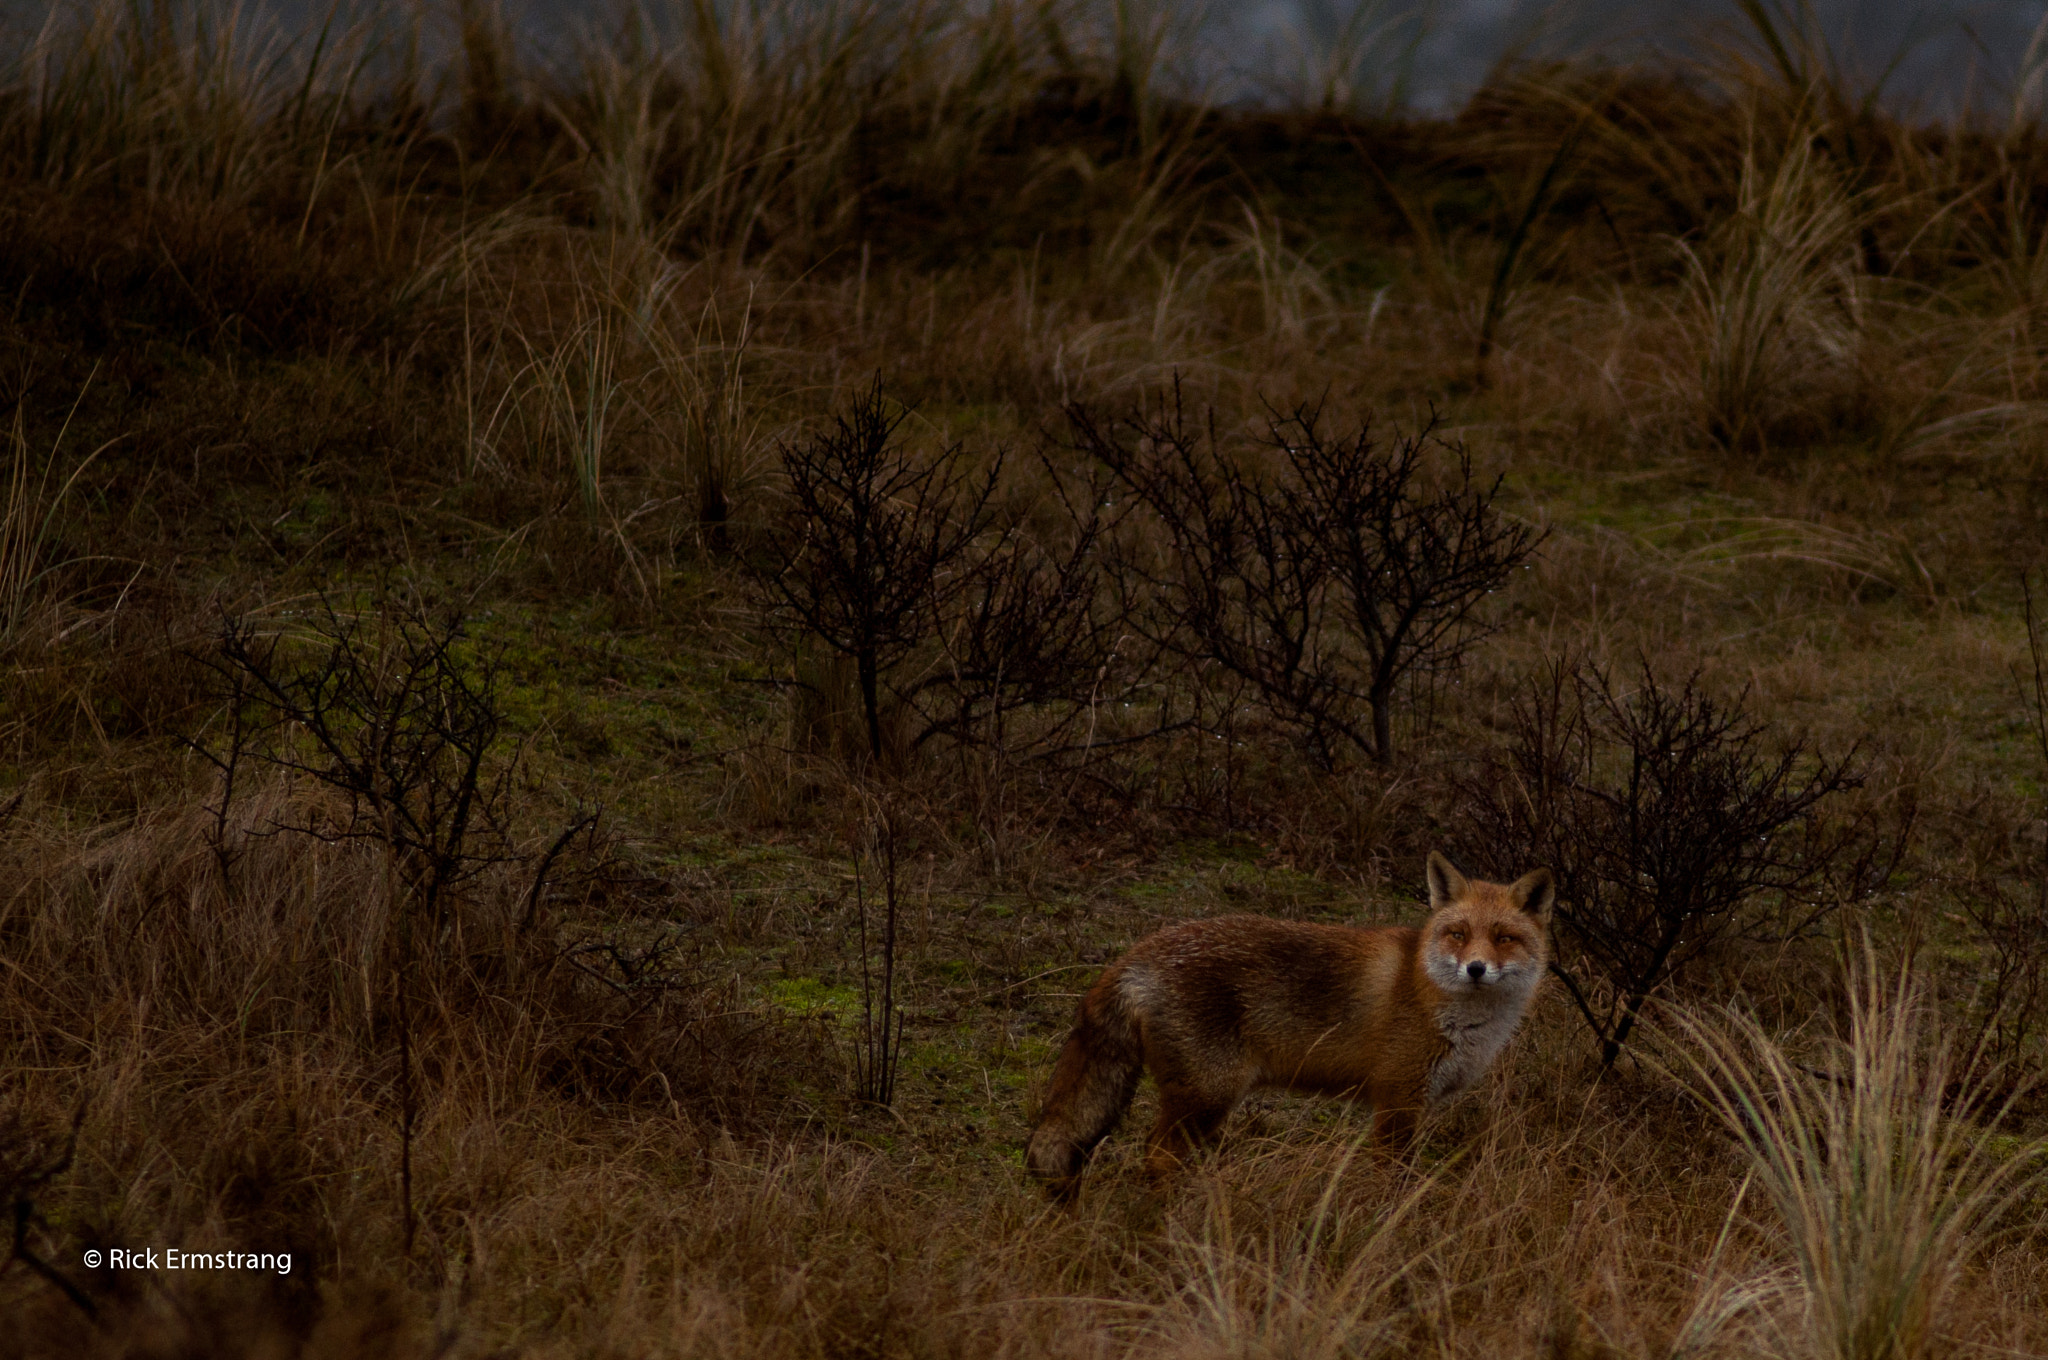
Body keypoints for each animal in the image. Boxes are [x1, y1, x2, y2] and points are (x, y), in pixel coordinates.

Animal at [1024, 852, 1548, 1204]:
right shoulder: (1397, 1100)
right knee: (1156, 1155)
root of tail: (1137, 952)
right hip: (1209, 1095)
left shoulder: (1418, 1103)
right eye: (1458, 934)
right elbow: (1392, 1180)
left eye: (1505, 938)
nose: (1476, 969)